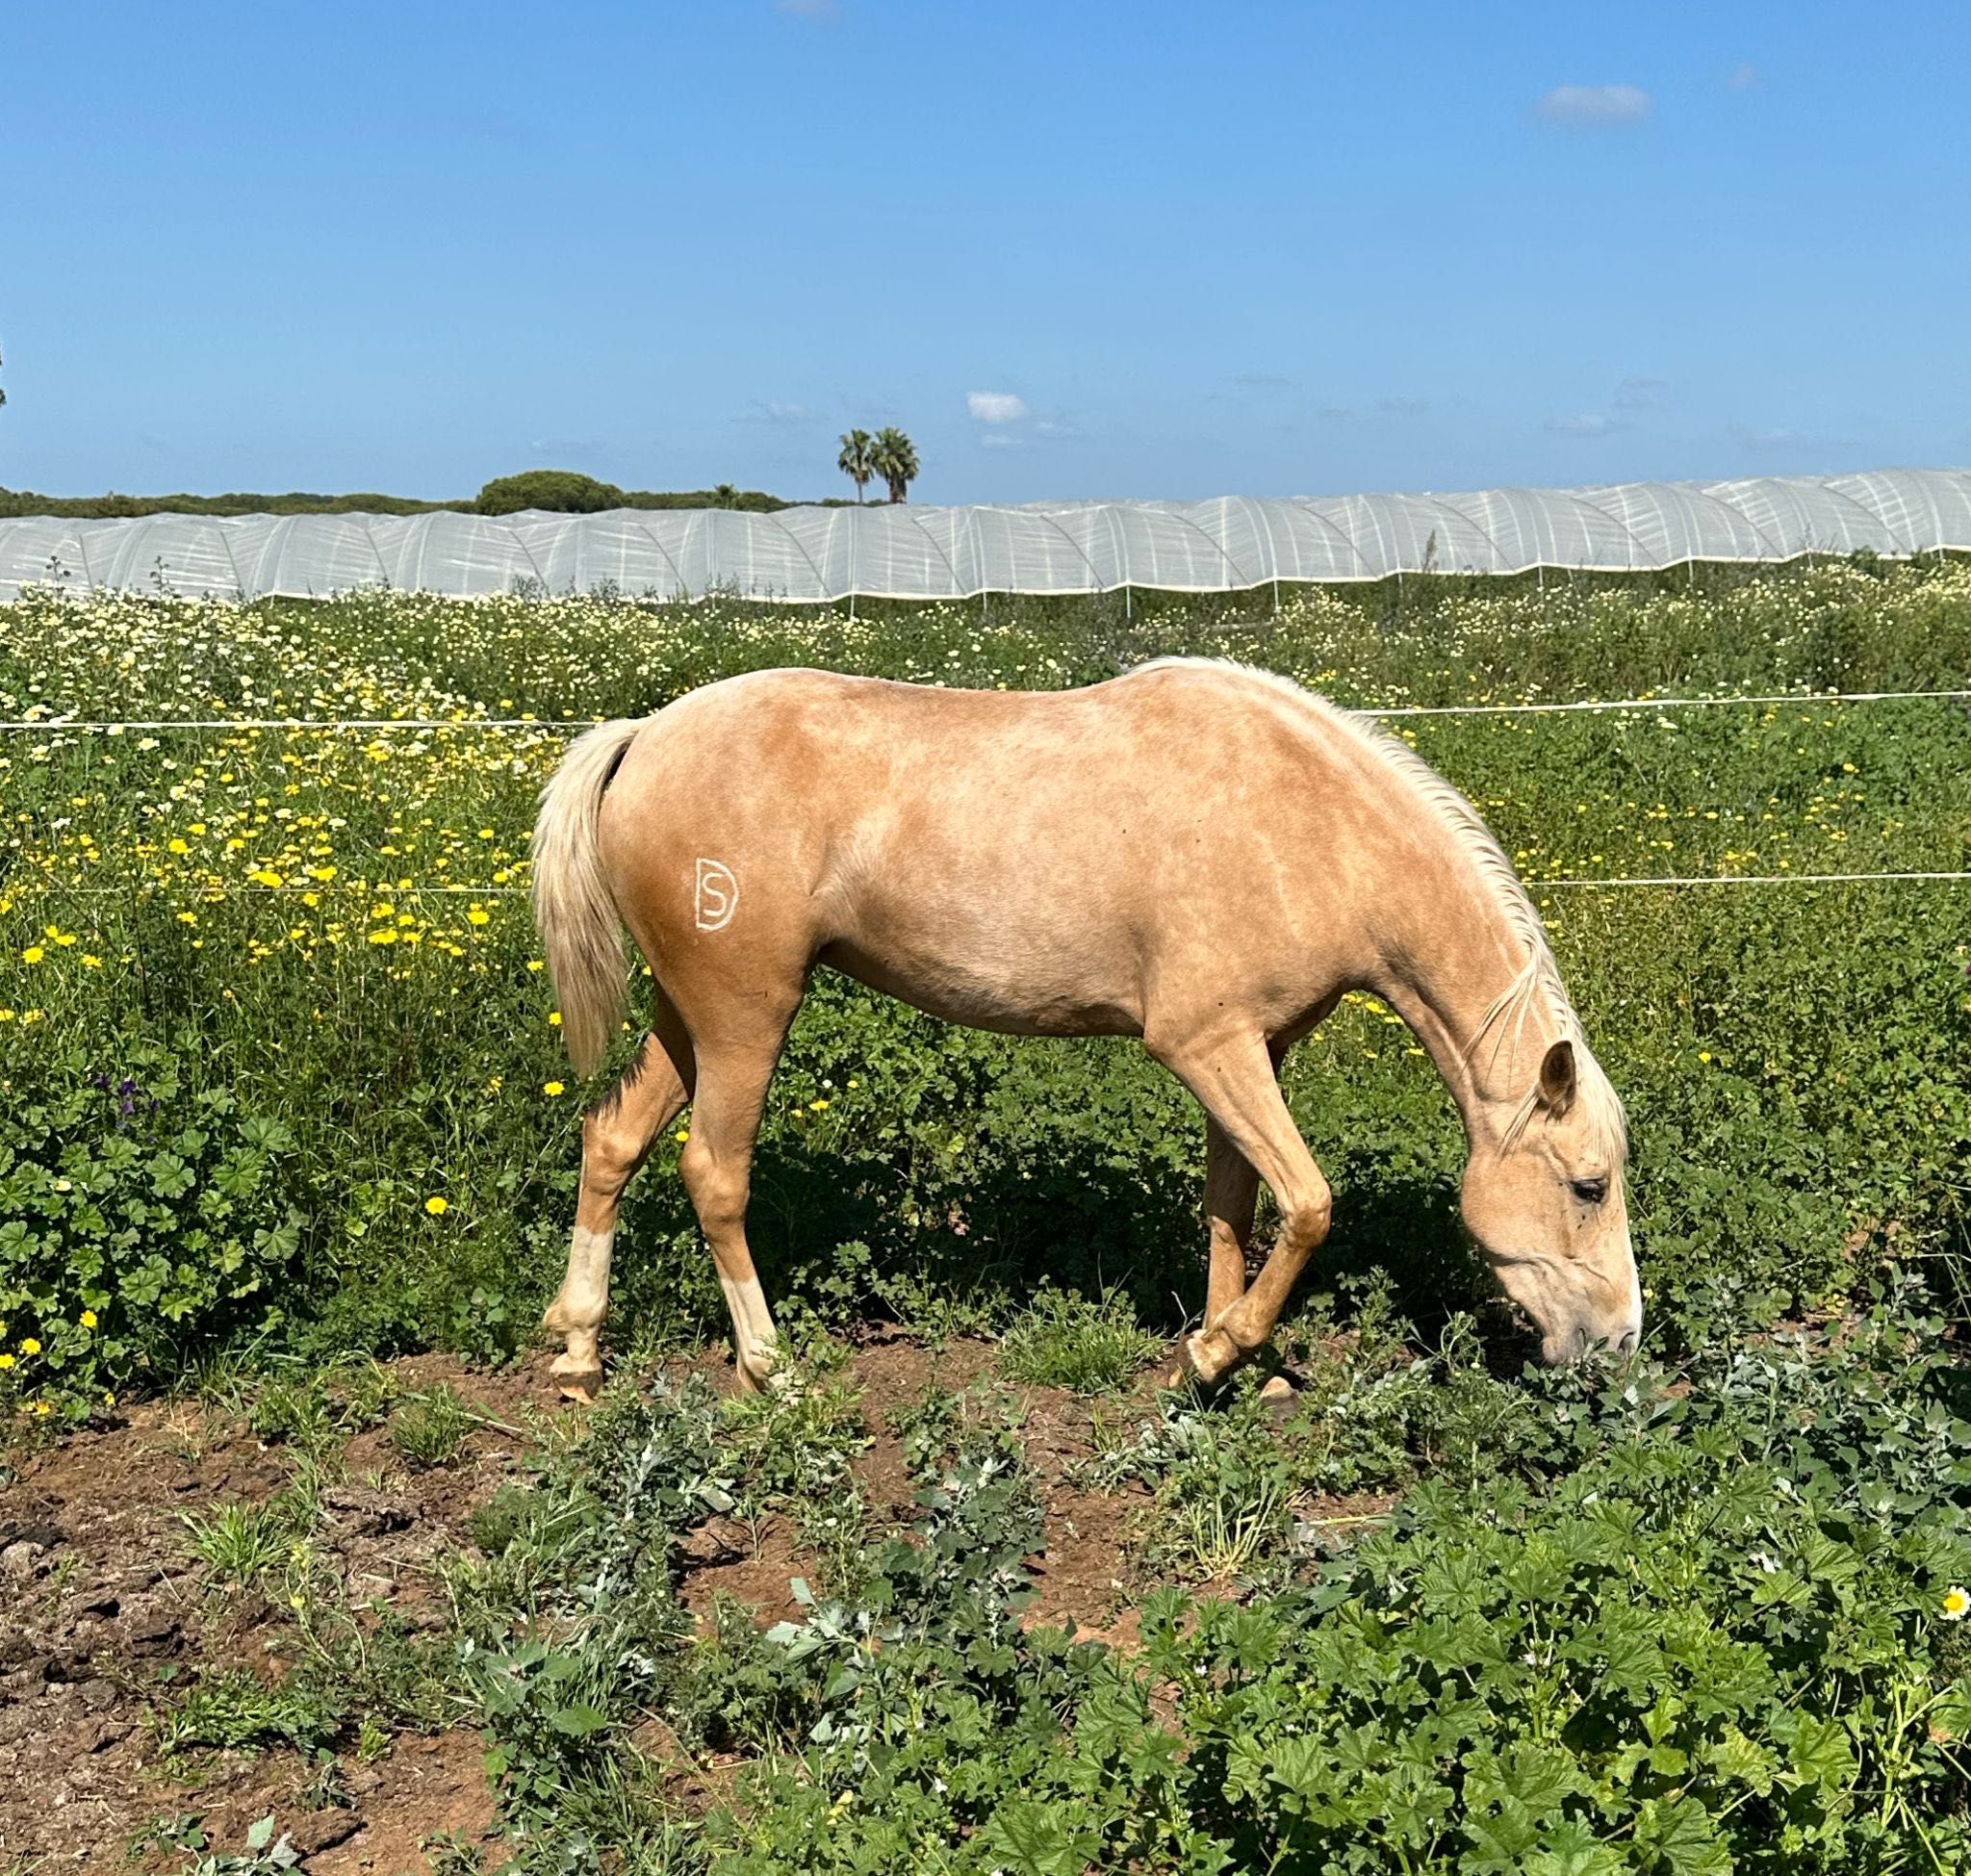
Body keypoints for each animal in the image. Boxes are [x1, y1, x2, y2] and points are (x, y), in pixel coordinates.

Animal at [531, 650, 1639, 1402]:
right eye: (1588, 1185)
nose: (1623, 1339)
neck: (1309, 828)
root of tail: (640, 736)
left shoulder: (1252, 1051)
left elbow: (1234, 1206)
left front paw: (1233, 1365)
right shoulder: (1203, 1046)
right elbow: (1309, 1203)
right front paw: (1216, 1350)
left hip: (690, 1018)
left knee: (612, 1137)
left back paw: (579, 1348)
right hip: (745, 1015)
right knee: (713, 1173)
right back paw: (770, 1367)